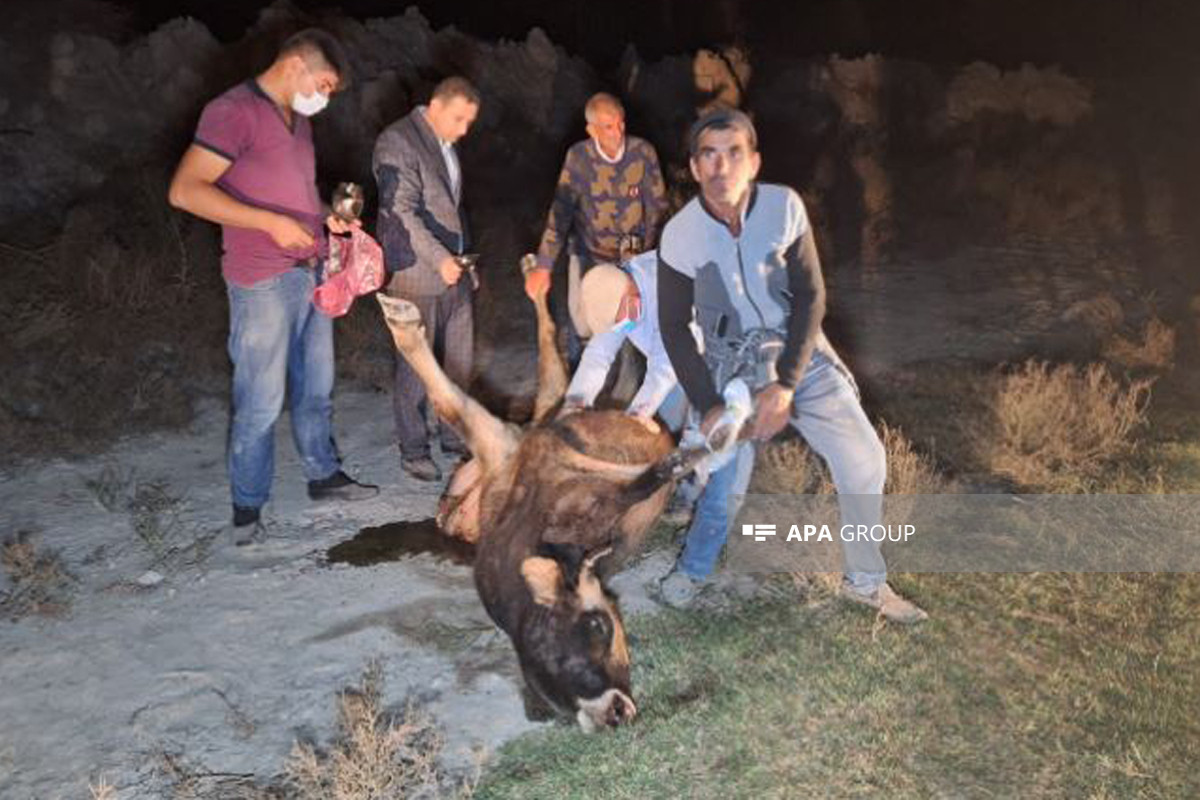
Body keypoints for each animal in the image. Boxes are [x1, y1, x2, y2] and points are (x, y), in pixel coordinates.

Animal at [374, 280, 715, 734]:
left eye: (598, 626)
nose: (615, 711)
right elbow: (635, 483)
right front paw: (683, 459)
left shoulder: (518, 446)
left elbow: (448, 402)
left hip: (528, 422)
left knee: (553, 361)